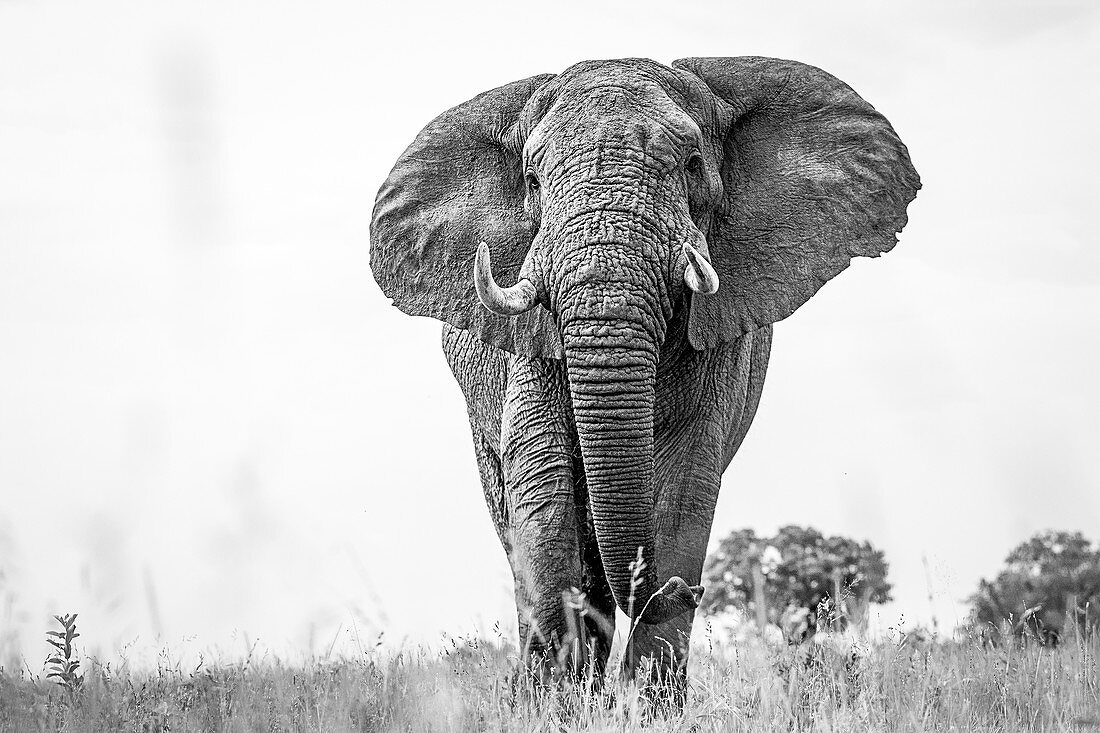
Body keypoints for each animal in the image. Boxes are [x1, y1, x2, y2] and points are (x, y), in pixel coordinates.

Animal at [369, 57, 919, 686]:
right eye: (531, 180)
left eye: (693, 164)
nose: (683, 589)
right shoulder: (529, 340)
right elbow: (543, 479)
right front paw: (556, 694)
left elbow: (685, 480)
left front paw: (648, 694)